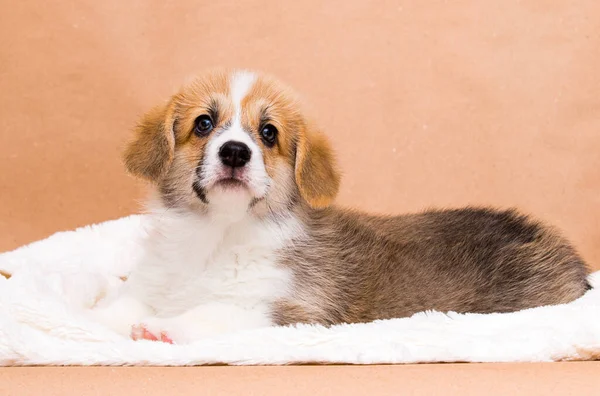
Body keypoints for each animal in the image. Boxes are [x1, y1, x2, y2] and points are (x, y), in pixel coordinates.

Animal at [90, 68, 592, 344]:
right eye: (203, 124)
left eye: (268, 133)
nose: (235, 152)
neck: (216, 233)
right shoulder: (153, 283)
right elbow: (123, 304)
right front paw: (95, 311)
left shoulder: (290, 309)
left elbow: (214, 312)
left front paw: (165, 329)